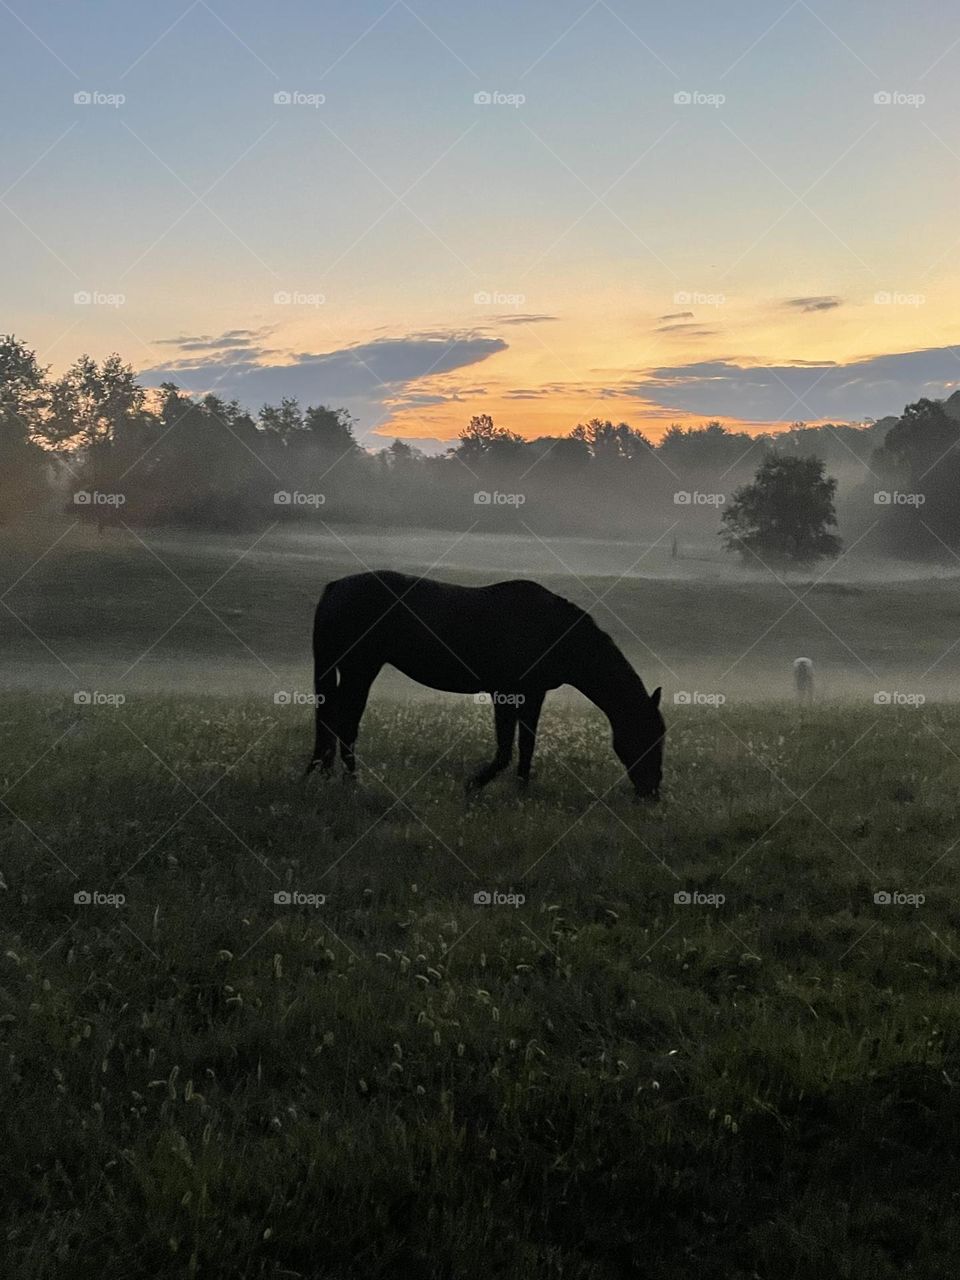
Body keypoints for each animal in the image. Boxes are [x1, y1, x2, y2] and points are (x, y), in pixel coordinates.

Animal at [303, 571, 665, 799]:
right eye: (647, 736)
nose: (652, 792)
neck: (552, 631)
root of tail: (335, 587)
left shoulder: (533, 695)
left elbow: (526, 745)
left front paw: (521, 790)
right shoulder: (505, 694)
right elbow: (505, 749)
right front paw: (475, 784)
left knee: (333, 718)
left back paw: (327, 774)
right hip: (360, 669)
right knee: (344, 721)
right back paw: (352, 781)